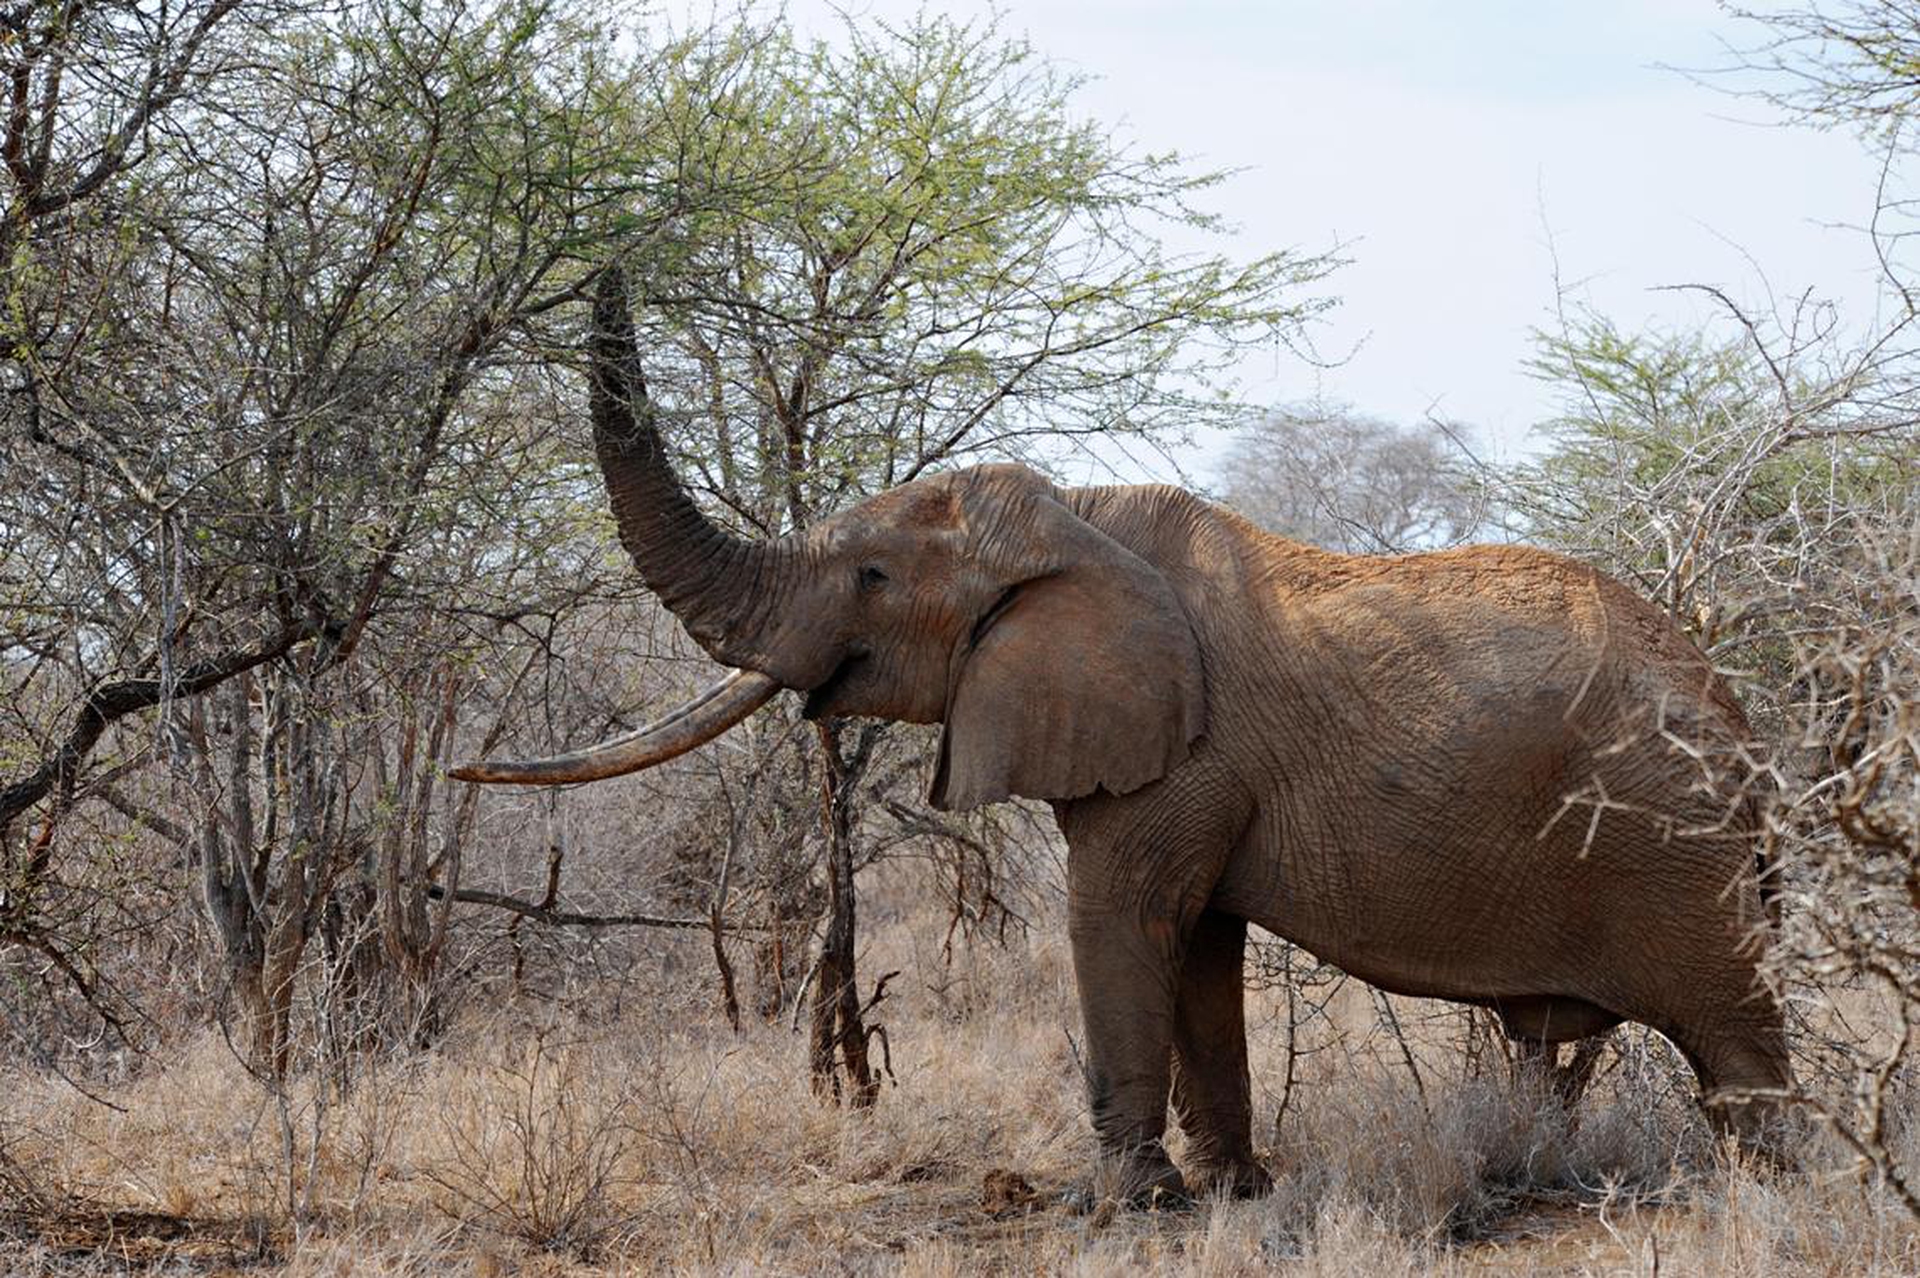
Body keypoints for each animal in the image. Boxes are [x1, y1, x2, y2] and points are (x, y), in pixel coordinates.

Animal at [452, 268, 1791, 1204]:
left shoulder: (1180, 754)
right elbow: (1196, 946)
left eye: (873, 577)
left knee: (1734, 1036)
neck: (1075, 518)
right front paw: (1234, 1193)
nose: (614, 235)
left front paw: (1121, 1206)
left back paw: (1773, 1193)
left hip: (1679, 849)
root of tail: (1738, 715)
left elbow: (1119, 919)